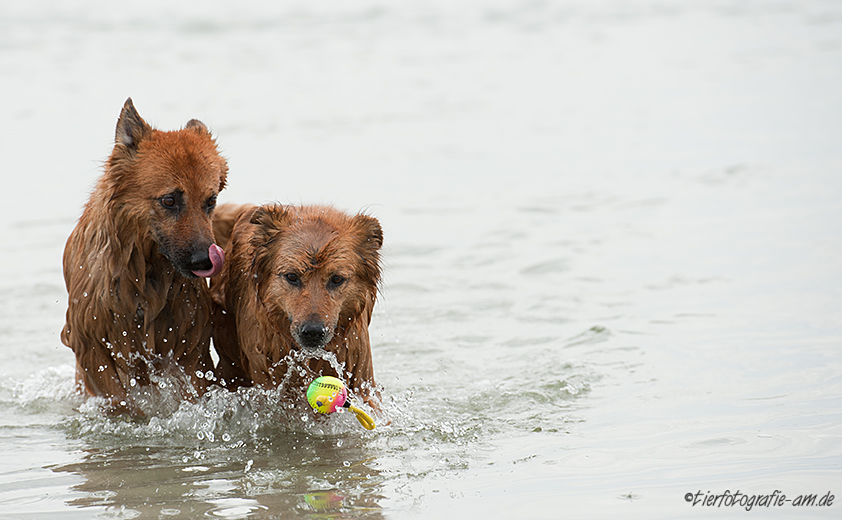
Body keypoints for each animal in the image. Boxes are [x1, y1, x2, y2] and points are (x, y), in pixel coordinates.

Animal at [60, 98, 228, 414]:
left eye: (210, 201)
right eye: (170, 200)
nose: (205, 261)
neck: (144, 274)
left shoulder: (190, 347)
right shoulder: (93, 349)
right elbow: (119, 399)